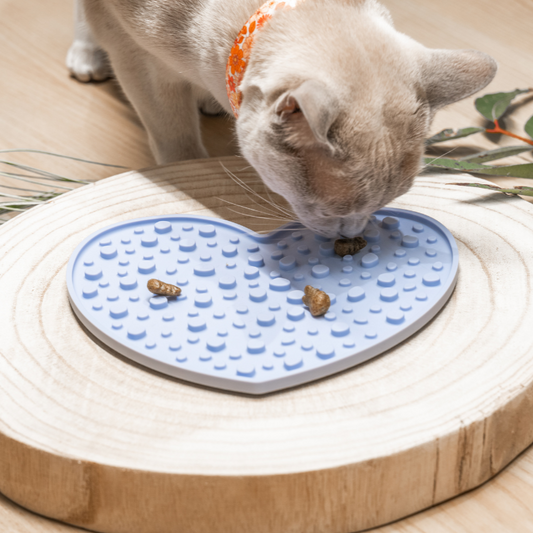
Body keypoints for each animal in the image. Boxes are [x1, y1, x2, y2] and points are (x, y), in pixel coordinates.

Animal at [65, 0, 494, 237]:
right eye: (331, 211)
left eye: (389, 202)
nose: (351, 233)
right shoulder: (137, 59)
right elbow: (177, 144)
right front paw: (184, 172)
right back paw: (86, 55)